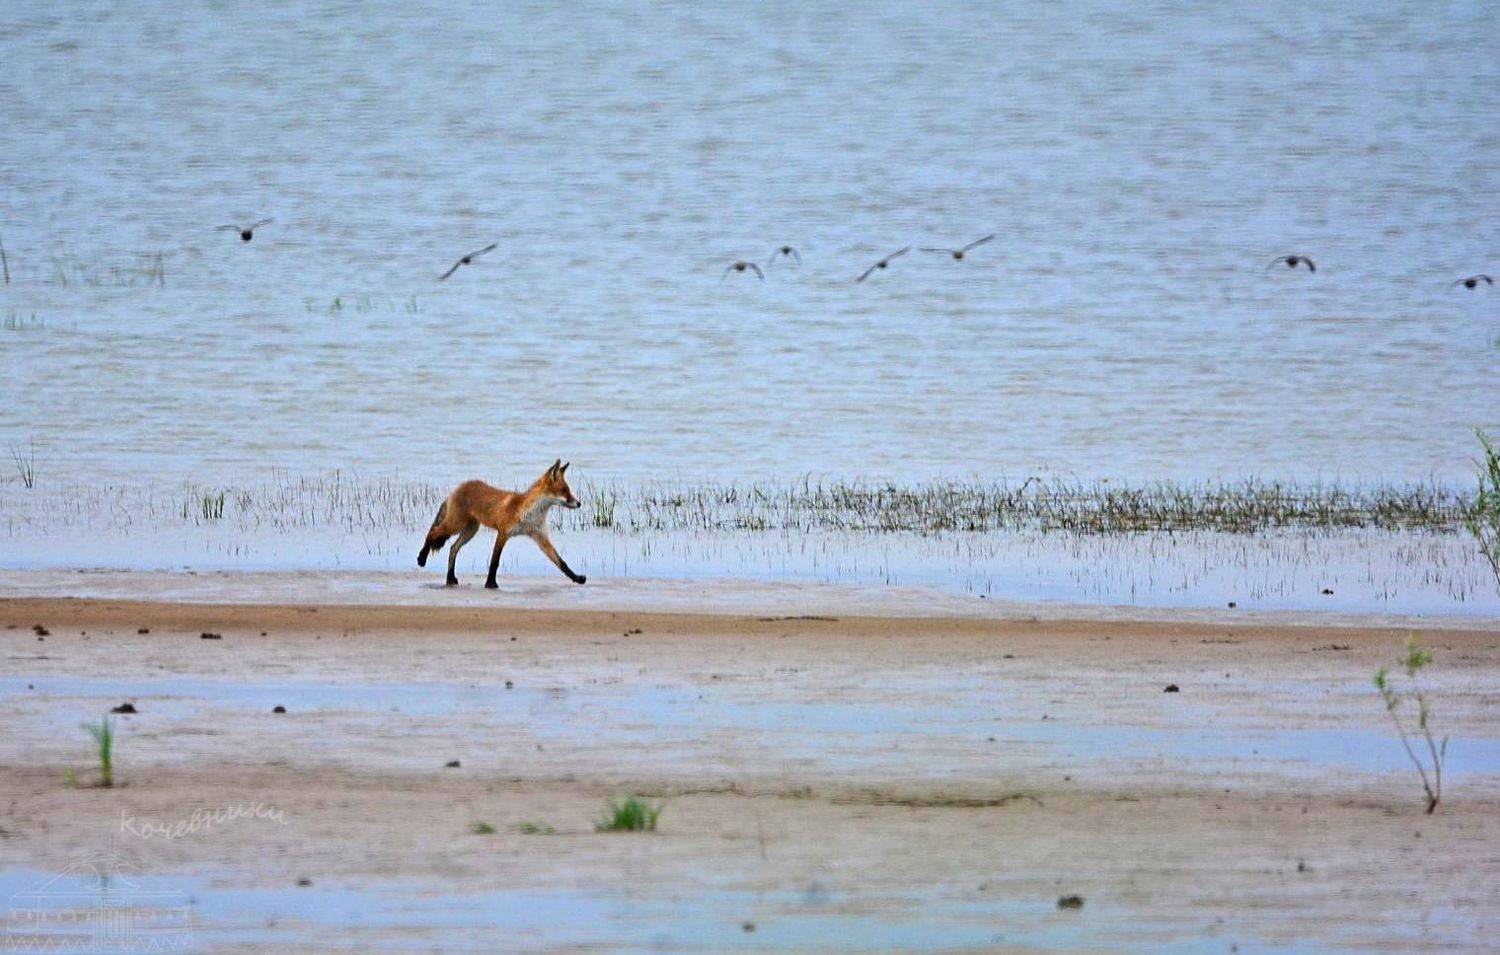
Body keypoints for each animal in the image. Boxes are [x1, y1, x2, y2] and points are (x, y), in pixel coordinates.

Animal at [417, 460, 587, 588]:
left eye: (568, 490)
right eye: (564, 491)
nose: (579, 503)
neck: (530, 513)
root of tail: (458, 488)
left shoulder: (540, 536)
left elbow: (561, 562)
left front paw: (577, 578)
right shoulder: (503, 533)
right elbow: (495, 561)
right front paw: (490, 584)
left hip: (470, 530)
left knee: (453, 548)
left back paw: (450, 578)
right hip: (455, 525)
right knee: (433, 533)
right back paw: (422, 558)